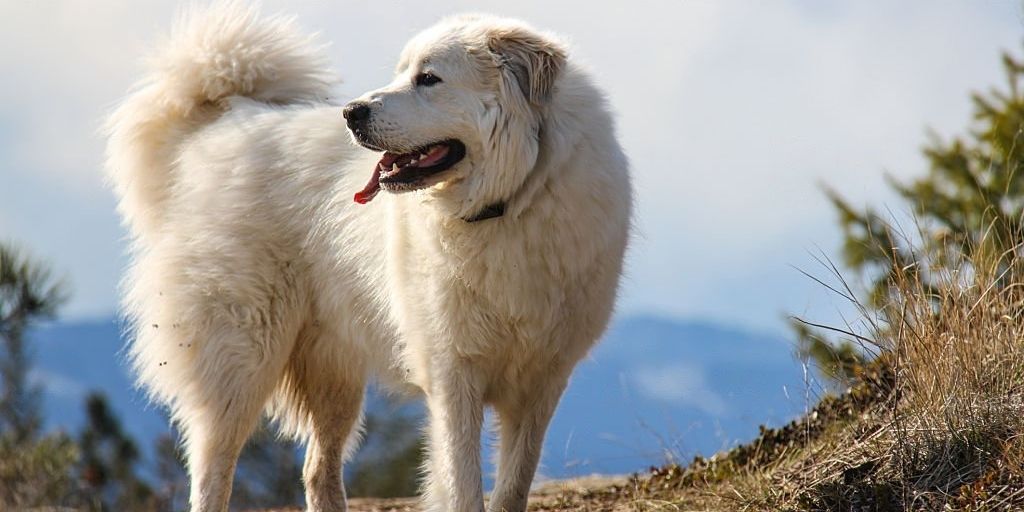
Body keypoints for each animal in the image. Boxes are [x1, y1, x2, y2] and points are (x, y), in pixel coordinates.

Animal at [105, 4, 630, 512]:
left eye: (429, 78)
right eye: (402, 73)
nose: (351, 112)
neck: (510, 202)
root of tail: (225, 122)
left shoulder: (541, 380)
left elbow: (514, 485)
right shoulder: (452, 373)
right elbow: (462, 483)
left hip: (333, 376)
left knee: (317, 471)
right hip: (241, 358)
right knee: (213, 471)